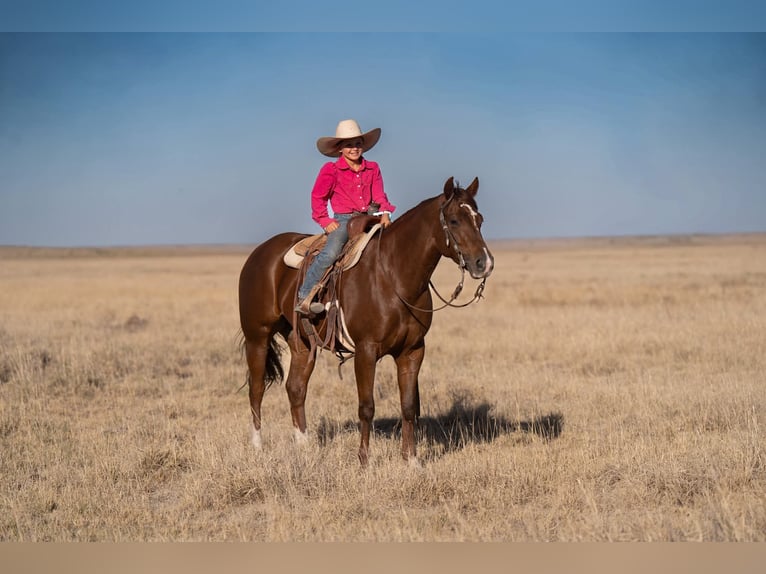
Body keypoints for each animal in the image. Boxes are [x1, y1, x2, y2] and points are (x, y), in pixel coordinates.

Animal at [238, 176, 494, 465]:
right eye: (453, 220)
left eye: (479, 219)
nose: (484, 263)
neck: (393, 276)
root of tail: (259, 252)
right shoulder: (366, 350)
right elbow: (367, 406)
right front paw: (364, 460)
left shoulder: (413, 350)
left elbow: (409, 406)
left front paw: (411, 460)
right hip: (257, 337)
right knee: (257, 388)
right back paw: (257, 446)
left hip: (302, 341)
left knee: (295, 387)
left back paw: (303, 445)